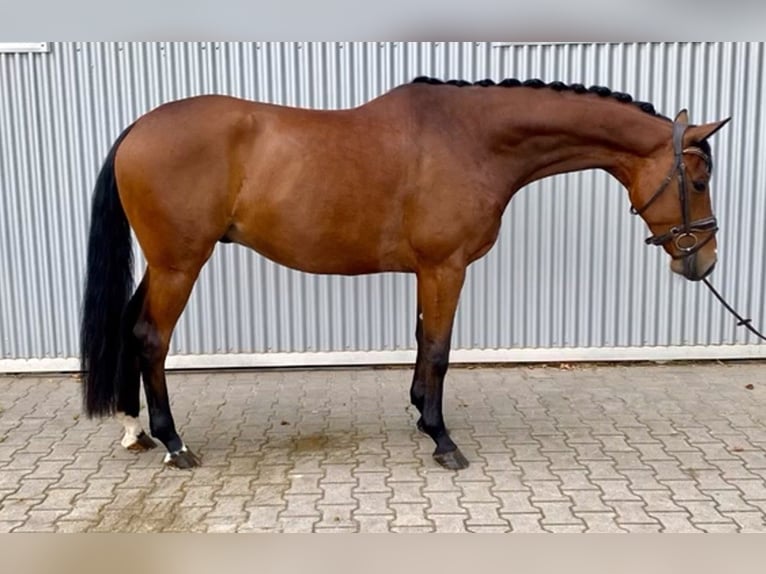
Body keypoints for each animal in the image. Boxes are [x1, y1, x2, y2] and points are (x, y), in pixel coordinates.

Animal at [80, 76, 731, 470]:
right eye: (698, 179)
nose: (702, 260)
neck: (472, 140)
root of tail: (139, 128)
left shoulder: (428, 270)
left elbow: (422, 342)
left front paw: (421, 415)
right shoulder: (446, 267)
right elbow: (439, 349)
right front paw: (443, 440)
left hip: (164, 264)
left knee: (130, 327)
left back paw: (136, 429)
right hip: (179, 264)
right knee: (151, 338)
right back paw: (174, 443)